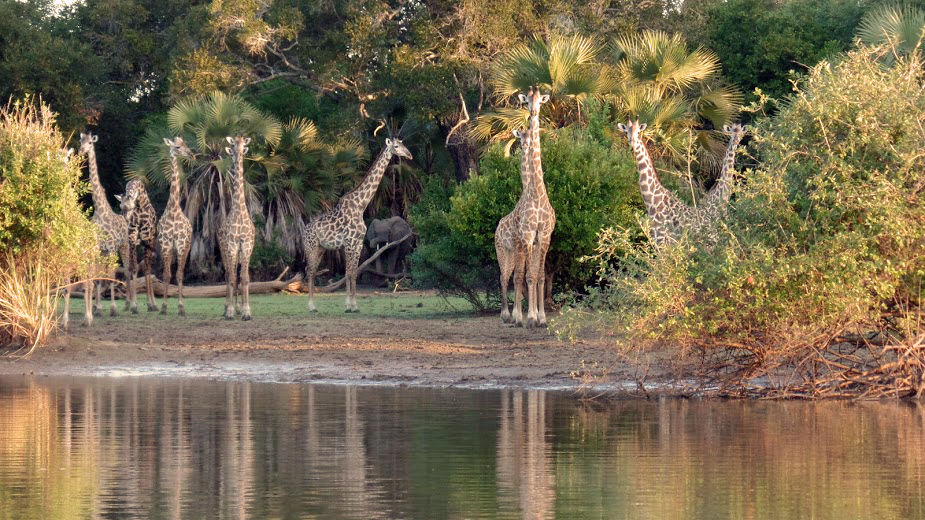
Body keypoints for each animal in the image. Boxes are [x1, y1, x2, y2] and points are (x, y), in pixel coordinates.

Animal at [78, 132, 130, 317]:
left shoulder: (112, 247)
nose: (81, 151)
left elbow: (112, 277)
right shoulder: (99, 248)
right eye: (80, 141)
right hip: (107, 252)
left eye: (90, 143)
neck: (100, 211)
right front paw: (97, 308)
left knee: (127, 272)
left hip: (123, 246)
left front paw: (113, 309)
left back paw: (131, 305)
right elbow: (99, 278)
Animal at [115, 179, 159, 313]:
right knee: (128, 268)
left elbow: (147, 269)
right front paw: (134, 305)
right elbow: (133, 268)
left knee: (148, 267)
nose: (127, 221)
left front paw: (150, 304)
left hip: (150, 241)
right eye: (121, 207)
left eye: (131, 207)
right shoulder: (132, 240)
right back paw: (127, 304)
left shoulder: (146, 238)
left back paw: (153, 304)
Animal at [301, 137, 413, 313]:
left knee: (311, 271)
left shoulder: (358, 243)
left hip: (321, 248)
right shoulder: (349, 242)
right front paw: (348, 305)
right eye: (396, 146)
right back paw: (311, 306)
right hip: (310, 246)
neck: (361, 206)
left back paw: (313, 305)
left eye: (403, 143)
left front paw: (354, 305)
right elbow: (348, 273)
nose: (409, 154)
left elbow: (353, 273)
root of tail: (303, 230)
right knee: (310, 270)